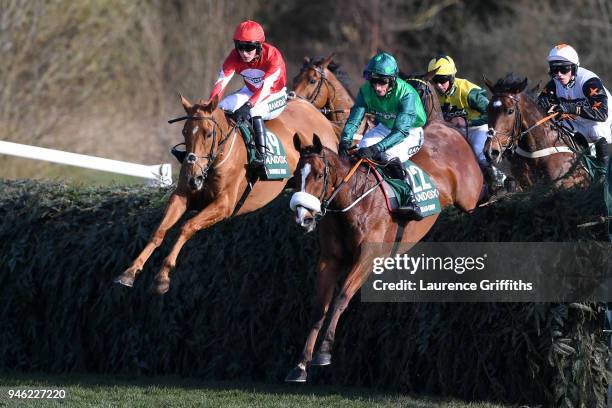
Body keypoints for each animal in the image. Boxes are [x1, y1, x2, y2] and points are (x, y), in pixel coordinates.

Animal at [112, 95, 338, 294]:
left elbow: (187, 226)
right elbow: (159, 231)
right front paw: (129, 272)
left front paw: (162, 278)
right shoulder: (182, 197)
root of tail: (316, 113)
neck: (215, 160)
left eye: (208, 133)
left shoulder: (224, 205)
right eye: (185, 132)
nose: (192, 176)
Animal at [286, 119, 482, 380]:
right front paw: (300, 365)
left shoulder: (369, 257)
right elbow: (320, 307)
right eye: (296, 175)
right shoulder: (330, 259)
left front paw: (324, 353)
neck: (353, 199)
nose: (303, 218)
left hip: (470, 199)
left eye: (319, 175)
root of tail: (447, 126)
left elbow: (340, 299)